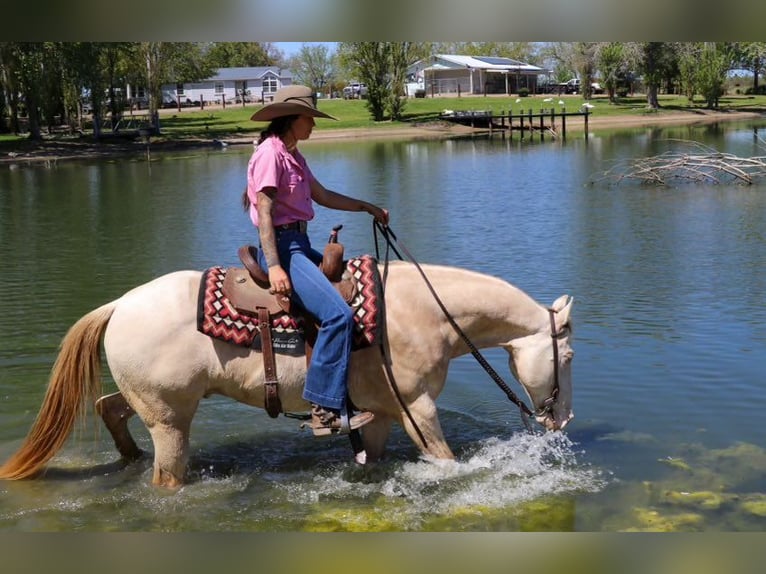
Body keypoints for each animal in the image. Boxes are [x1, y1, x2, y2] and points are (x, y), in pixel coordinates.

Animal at [0, 262, 576, 490]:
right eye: (568, 356)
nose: (562, 419)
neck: (424, 313)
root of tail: (119, 305)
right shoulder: (417, 407)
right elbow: (445, 459)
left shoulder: (380, 414)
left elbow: (373, 458)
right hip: (170, 418)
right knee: (165, 475)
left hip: (148, 401)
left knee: (109, 408)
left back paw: (127, 458)